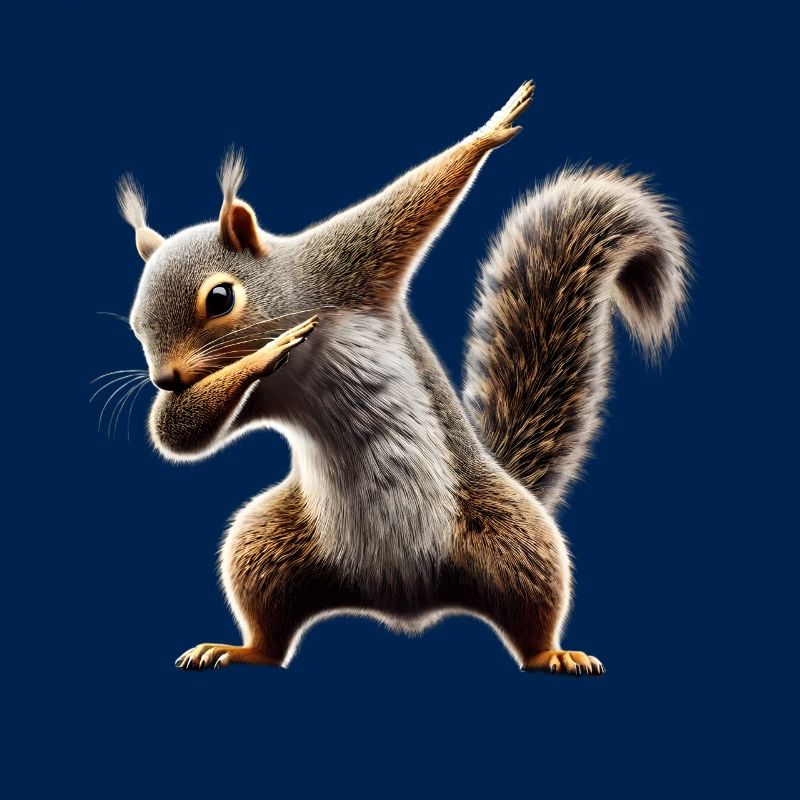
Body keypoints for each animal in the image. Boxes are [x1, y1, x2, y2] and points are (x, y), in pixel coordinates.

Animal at [115, 80, 689, 674]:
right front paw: (263, 355)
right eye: (134, 323)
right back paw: (238, 649)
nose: (163, 379)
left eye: (221, 298)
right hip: (265, 547)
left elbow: (411, 200)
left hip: (515, 540)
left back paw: (554, 654)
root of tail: (401, 597)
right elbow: (176, 432)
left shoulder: (345, 262)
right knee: (269, 628)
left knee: (532, 609)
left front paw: (490, 129)